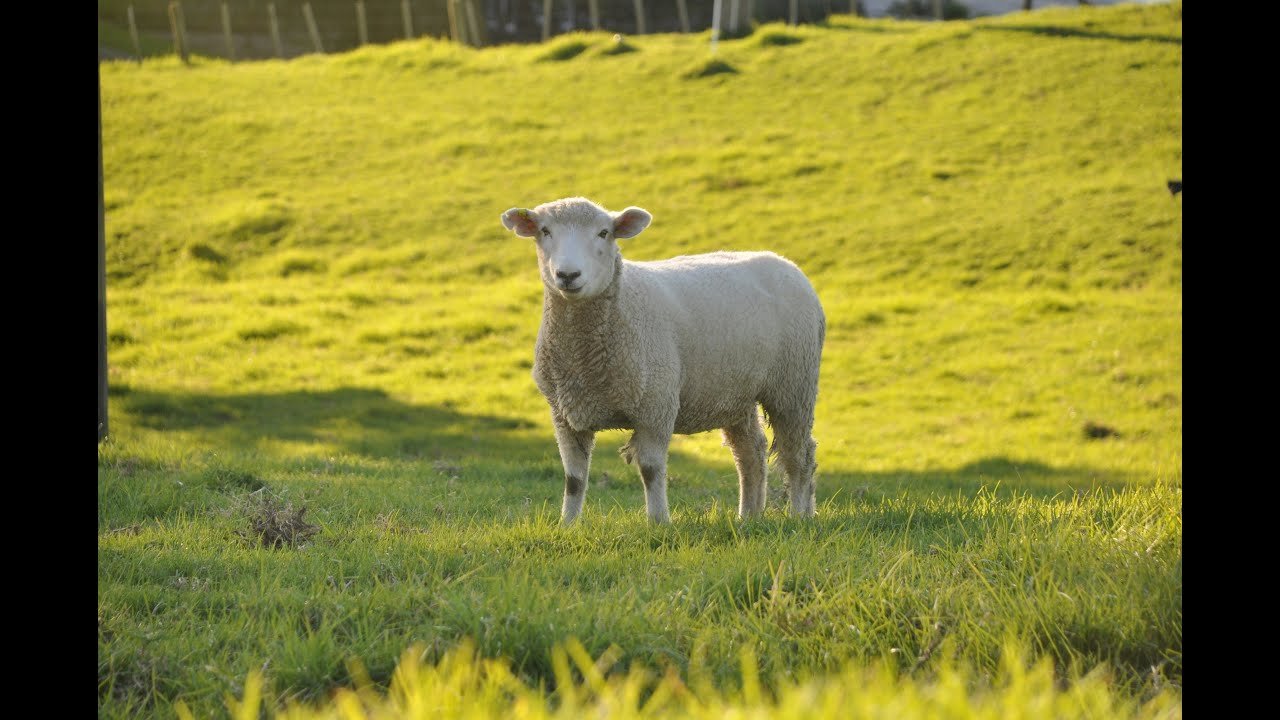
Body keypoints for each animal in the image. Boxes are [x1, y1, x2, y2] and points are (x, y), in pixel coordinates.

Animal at [494, 196, 824, 520]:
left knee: (799, 454)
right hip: (735, 391)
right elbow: (574, 479)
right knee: (750, 452)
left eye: (604, 233)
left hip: (794, 384)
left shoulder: (657, 406)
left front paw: (658, 522)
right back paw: (749, 518)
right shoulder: (565, 415)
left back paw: (799, 515)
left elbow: (651, 470)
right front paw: (568, 525)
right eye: (545, 231)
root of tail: (787, 264)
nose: (567, 275)